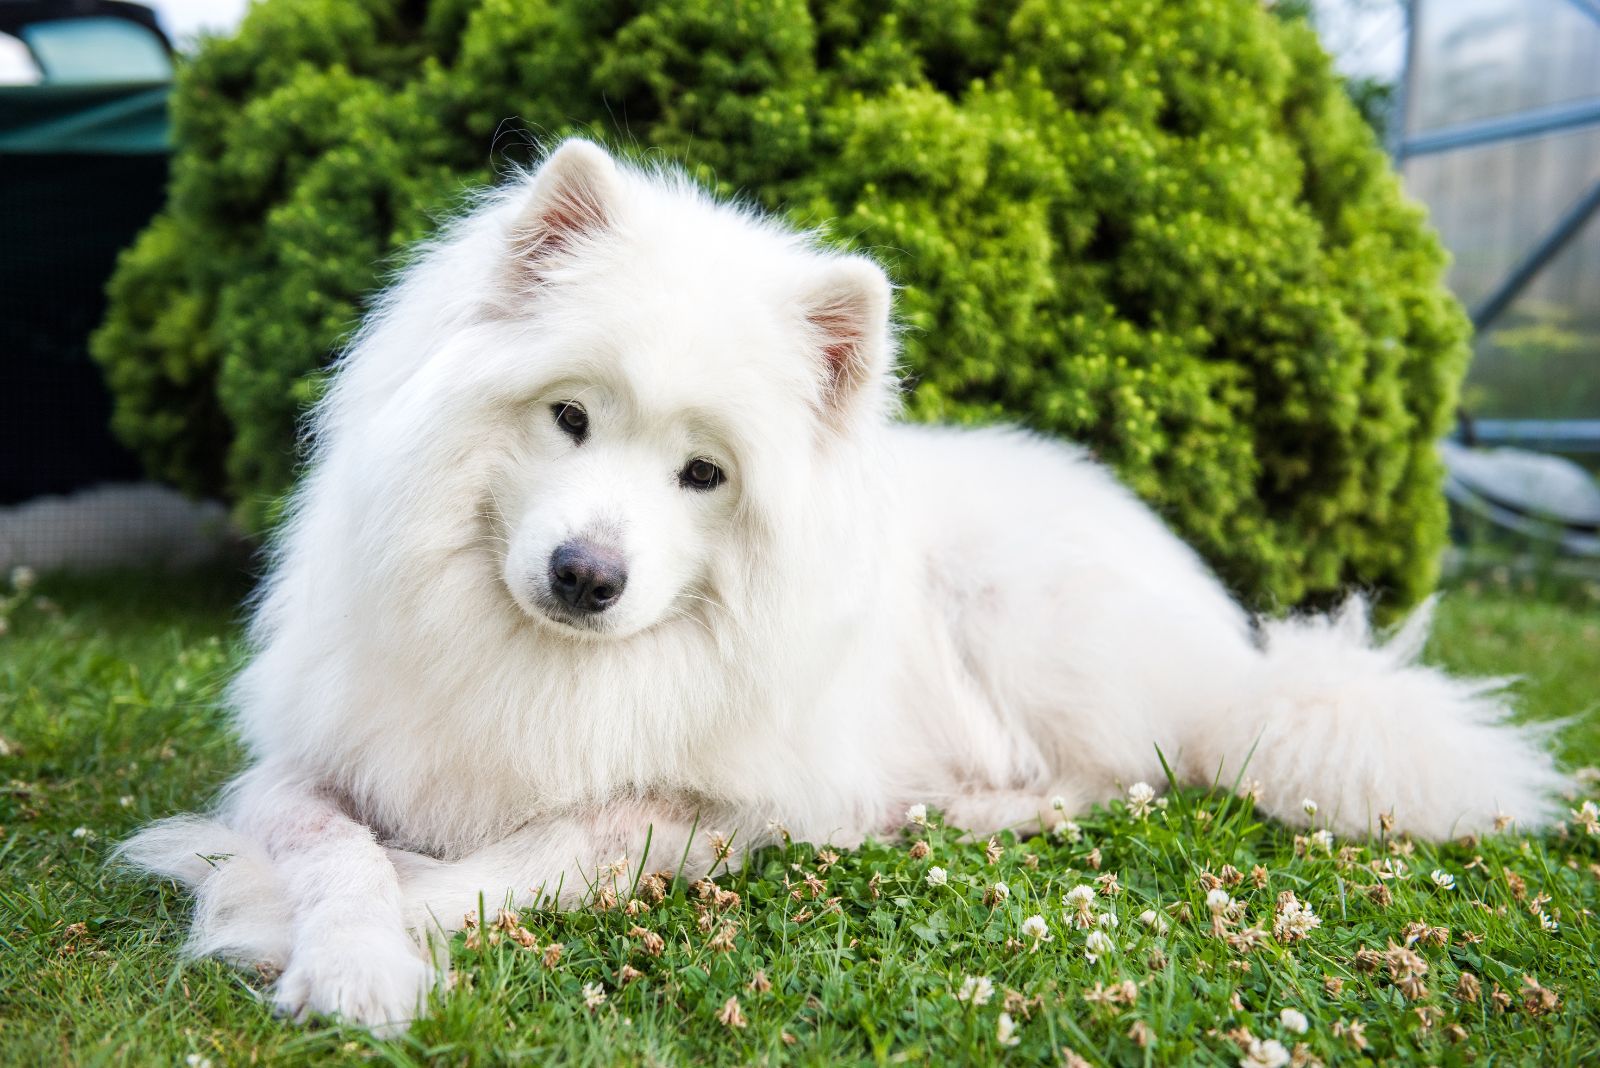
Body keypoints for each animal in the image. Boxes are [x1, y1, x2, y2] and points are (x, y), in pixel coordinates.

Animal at [121, 141, 1561, 1036]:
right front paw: (344, 949)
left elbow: (529, 856)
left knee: (1119, 776)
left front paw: (267, 915)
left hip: (1024, 625)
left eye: (703, 473)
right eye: (571, 417)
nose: (588, 576)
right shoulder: (309, 760)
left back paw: (968, 808)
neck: (547, 665)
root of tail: (1242, 651)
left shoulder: (707, 811)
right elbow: (338, 851)